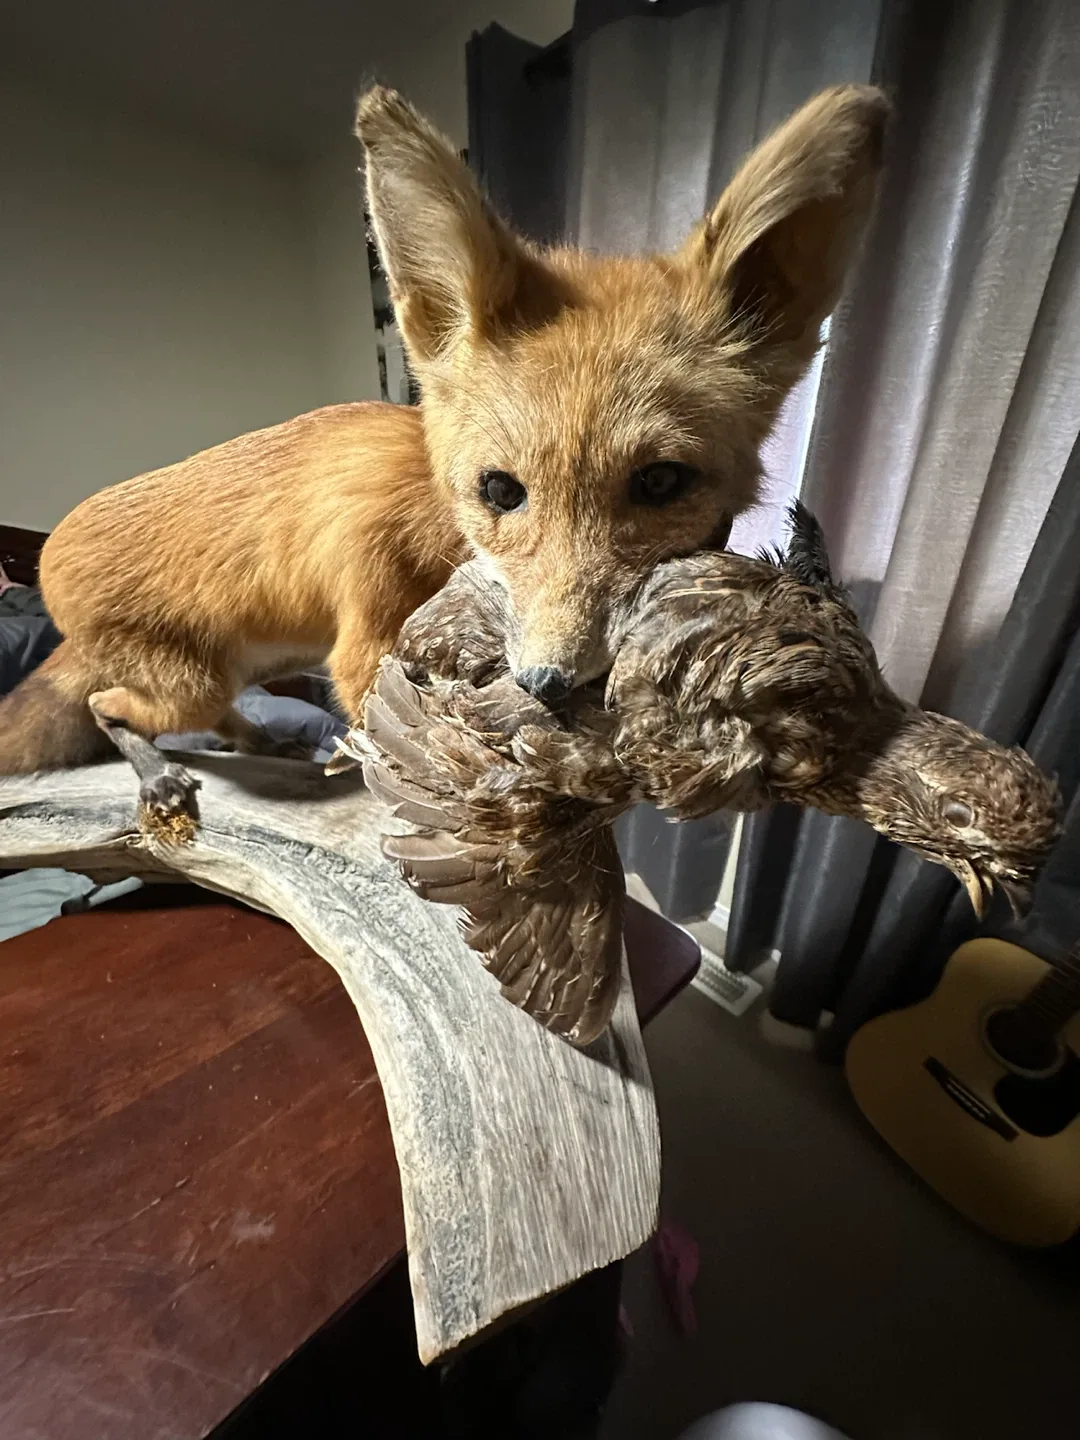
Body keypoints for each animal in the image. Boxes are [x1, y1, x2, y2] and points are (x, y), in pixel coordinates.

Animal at [0, 82, 888, 810]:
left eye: (662, 482)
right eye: (500, 490)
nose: (547, 683)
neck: (437, 524)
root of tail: (48, 554)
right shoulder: (364, 640)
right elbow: (395, 752)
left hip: (240, 671)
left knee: (213, 719)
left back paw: (266, 743)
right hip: (189, 680)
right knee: (108, 709)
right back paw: (160, 773)